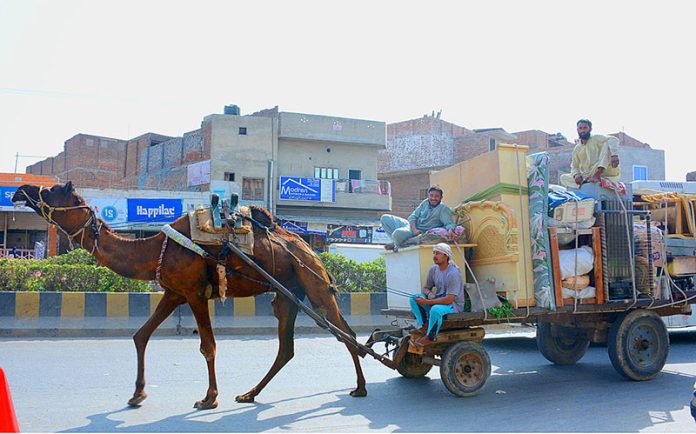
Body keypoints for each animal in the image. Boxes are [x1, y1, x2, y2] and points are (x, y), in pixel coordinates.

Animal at [12, 181, 370, 408]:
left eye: (53, 191)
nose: (20, 191)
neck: (156, 247)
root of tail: (311, 250)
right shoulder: (174, 292)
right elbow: (140, 335)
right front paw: (137, 394)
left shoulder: (195, 294)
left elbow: (208, 346)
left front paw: (209, 398)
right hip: (287, 294)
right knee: (288, 348)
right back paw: (249, 394)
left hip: (314, 284)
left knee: (346, 333)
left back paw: (360, 387)